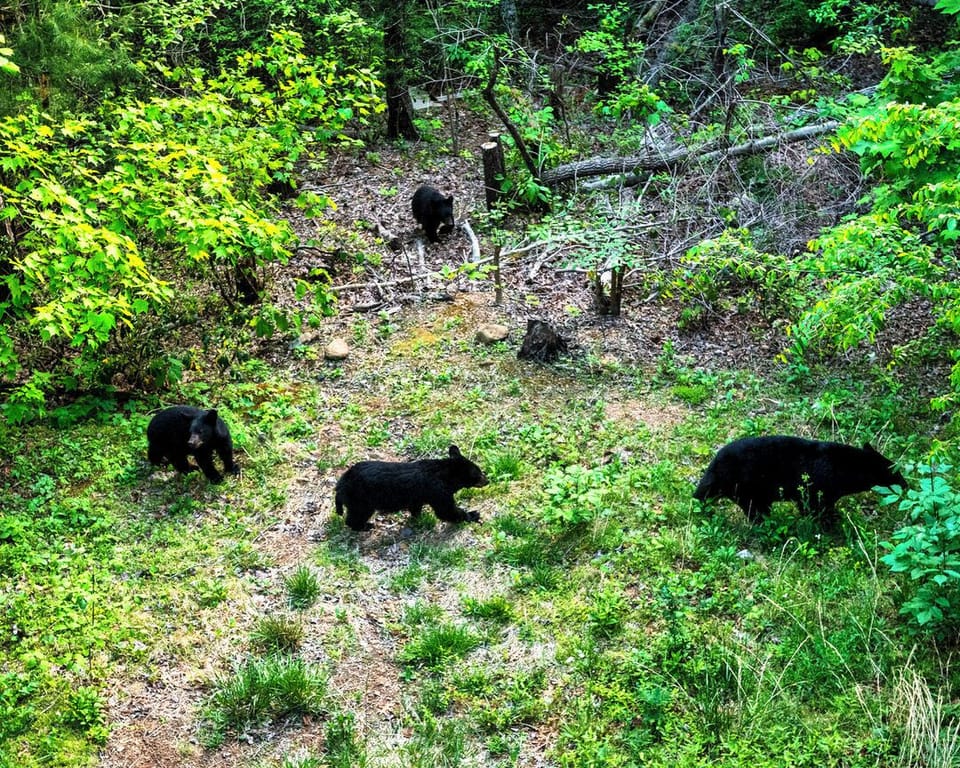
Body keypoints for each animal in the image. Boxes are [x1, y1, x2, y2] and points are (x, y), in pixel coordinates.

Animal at [334, 444, 488, 531]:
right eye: (478, 473)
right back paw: (365, 527)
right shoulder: (438, 491)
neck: (445, 475)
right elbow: (446, 511)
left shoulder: (418, 497)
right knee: (355, 516)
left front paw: (418, 518)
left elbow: (416, 507)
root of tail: (340, 484)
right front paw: (473, 515)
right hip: (361, 500)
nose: (488, 480)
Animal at [693, 435, 905, 522]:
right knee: (755, 509)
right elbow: (814, 507)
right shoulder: (817, 489)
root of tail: (714, 467)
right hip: (746, 487)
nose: (906, 483)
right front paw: (830, 522)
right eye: (895, 472)